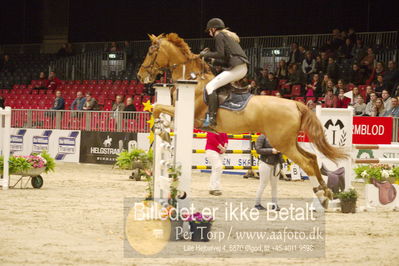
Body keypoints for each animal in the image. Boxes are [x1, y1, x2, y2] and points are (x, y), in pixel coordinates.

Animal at [138, 32, 350, 208]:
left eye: (150, 51)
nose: (140, 76)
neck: (192, 78)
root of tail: (295, 104)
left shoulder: (192, 116)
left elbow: (157, 108)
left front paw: (161, 127)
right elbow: (162, 112)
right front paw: (164, 127)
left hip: (283, 143)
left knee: (306, 163)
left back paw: (321, 195)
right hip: (289, 142)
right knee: (312, 158)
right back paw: (326, 192)